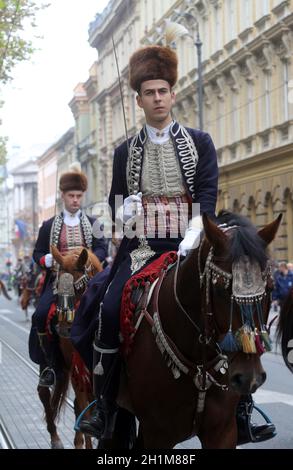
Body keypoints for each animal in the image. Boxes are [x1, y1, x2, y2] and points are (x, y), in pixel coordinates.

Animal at [37, 246, 102, 448]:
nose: (64, 329)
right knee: (44, 393)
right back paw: (56, 439)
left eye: (80, 287)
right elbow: (85, 411)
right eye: (57, 287)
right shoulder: (77, 372)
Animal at [109, 210, 280, 448]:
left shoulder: (223, 432)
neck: (200, 362)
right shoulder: (157, 434)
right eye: (220, 290)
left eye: (270, 288)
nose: (249, 378)